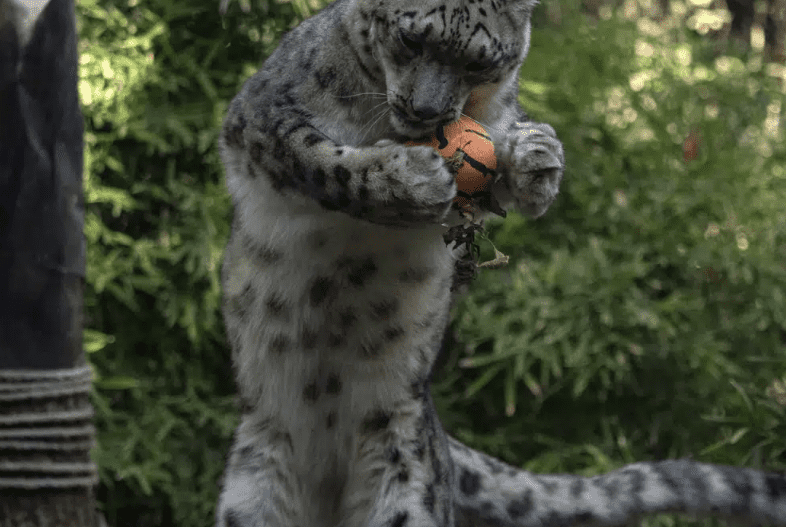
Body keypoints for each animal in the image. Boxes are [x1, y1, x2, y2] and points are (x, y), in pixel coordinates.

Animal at [214, 1, 784, 527]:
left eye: (478, 62)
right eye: (410, 40)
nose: (426, 111)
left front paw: (535, 157)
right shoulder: (264, 114)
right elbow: (323, 160)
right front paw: (403, 179)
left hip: (405, 476)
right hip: (253, 488)